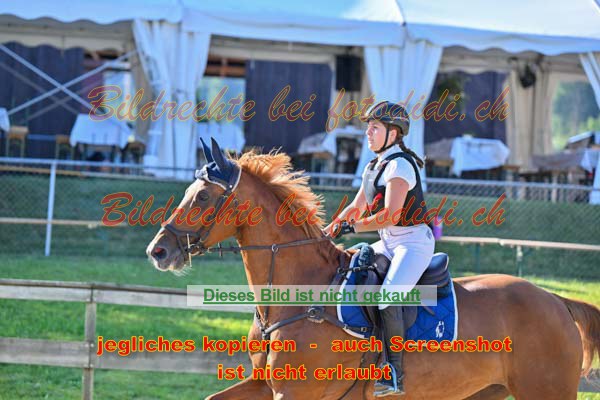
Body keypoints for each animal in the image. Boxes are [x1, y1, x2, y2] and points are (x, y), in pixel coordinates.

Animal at [147, 139, 600, 399]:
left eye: (203, 197)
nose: (158, 251)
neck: (299, 295)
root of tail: (556, 301)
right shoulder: (263, 385)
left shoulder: (297, 391)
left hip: (545, 391)